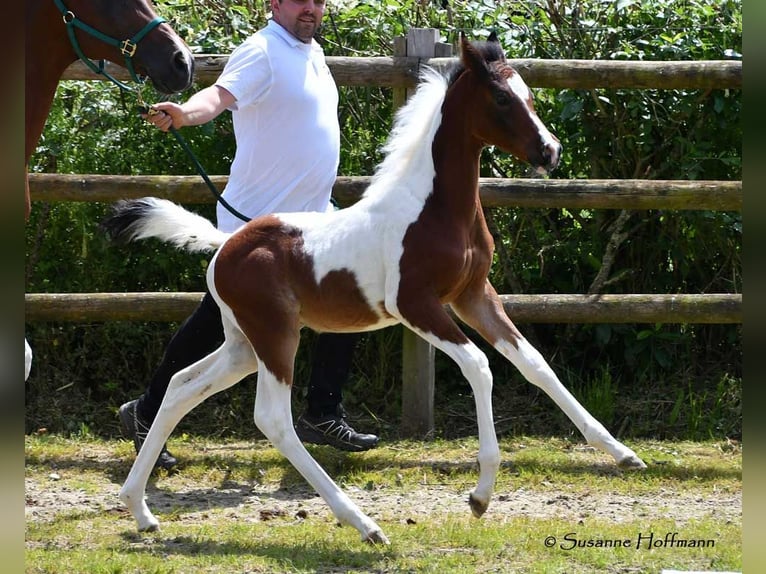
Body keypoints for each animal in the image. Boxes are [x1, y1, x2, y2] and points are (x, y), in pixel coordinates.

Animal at [103, 33, 646, 545]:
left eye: (528, 94)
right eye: (500, 99)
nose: (551, 152)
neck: (435, 209)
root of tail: (225, 245)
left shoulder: (474, 295)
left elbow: (533, 363)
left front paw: (623, 454)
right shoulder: (416, 305)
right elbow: (480, 366)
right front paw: (480, 496)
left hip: (243, 345)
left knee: (181, 386)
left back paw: (140, 509)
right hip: (275, 337)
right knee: (272, 419)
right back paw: (363, 524)